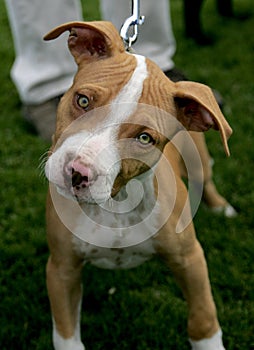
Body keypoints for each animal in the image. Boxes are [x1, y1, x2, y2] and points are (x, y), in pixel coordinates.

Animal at [44, 21, 231, 350]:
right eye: (83, 101)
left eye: (144, 138)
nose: (76, 173)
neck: (116, 203)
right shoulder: (61, 269)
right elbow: (66, 334)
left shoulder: (190, 259)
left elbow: (203, 317)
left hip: (199, 160)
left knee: (206, 180)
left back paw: (221, 207)